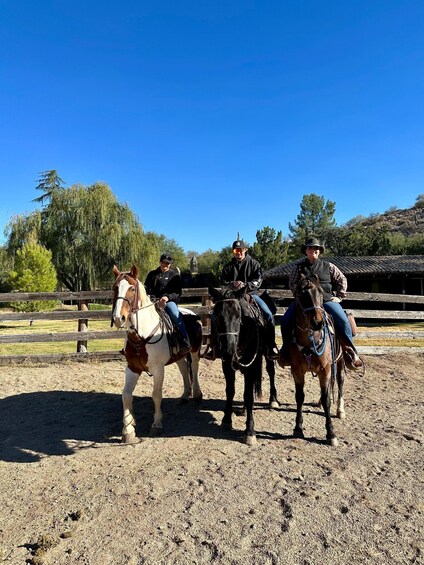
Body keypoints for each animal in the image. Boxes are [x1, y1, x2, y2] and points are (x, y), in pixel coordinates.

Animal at [111, 264, 204, 440]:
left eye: (132, 288)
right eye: (115, 288)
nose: (119, 318)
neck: (141, 335)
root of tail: (192, 313)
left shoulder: (158, 369)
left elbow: (156, 395)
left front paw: (156, 424)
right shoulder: (132, 368)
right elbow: (126, 395)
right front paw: (128, 429)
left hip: (195, 350)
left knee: (194, 368)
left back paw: (196, 394)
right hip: (179, 356)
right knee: (183, 369)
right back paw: (184, 395)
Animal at [210, 286, 272, 446]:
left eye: (238, 316)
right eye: (218, 316)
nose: (229, 350)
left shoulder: (251, 367)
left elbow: (249, 396)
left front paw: (250, 431)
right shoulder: (226, 365)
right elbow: (230, 391)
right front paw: (226, 420)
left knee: (271, 372)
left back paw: (273, 401)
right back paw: (243, 410)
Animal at [280, 274, 346, 446]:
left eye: (321, 293)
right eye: (302, 295)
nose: (318, 322)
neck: (310, 340)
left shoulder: (325, 370)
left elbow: (327, 399)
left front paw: (331, 434)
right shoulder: (297, 370)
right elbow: (299, 397)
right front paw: (298, 428)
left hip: (340, 362)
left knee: (340, 382)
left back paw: (340, 410)